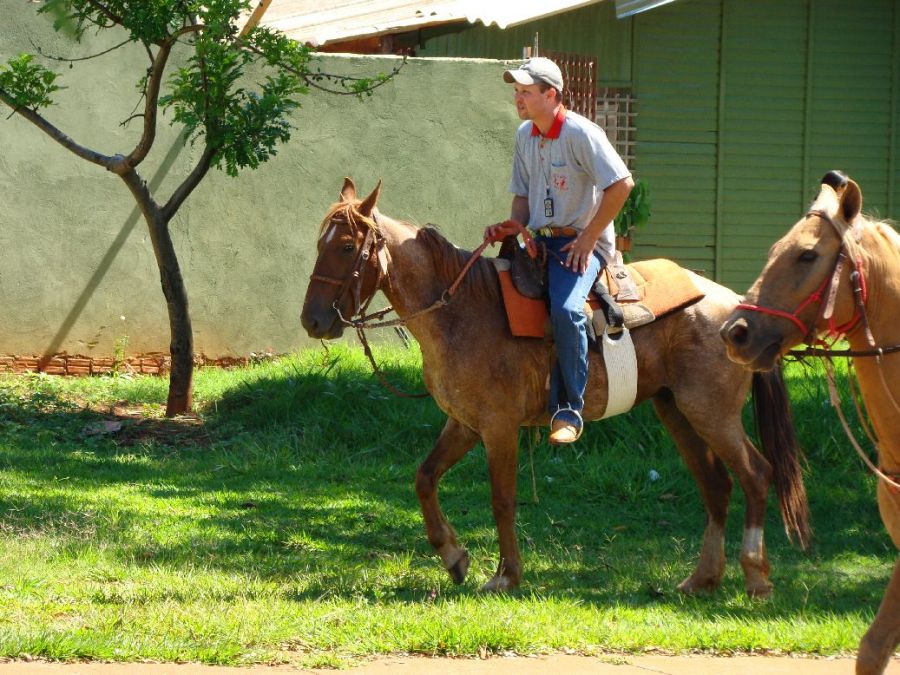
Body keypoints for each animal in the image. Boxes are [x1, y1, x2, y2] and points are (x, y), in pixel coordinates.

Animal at [300, 178, 808, 596]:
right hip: (677, 410)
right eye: (320, 243)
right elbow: (424, 478)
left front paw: (506, 575)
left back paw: (755, 576)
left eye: (347, 245)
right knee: (716, 486)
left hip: (712, 413)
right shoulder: (464, 424)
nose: (313, 321)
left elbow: (502, 499)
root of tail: (738, 309)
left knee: (756, 475)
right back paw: (702, 578)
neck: (459, 310)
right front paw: (454, 557)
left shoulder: (499, 427)